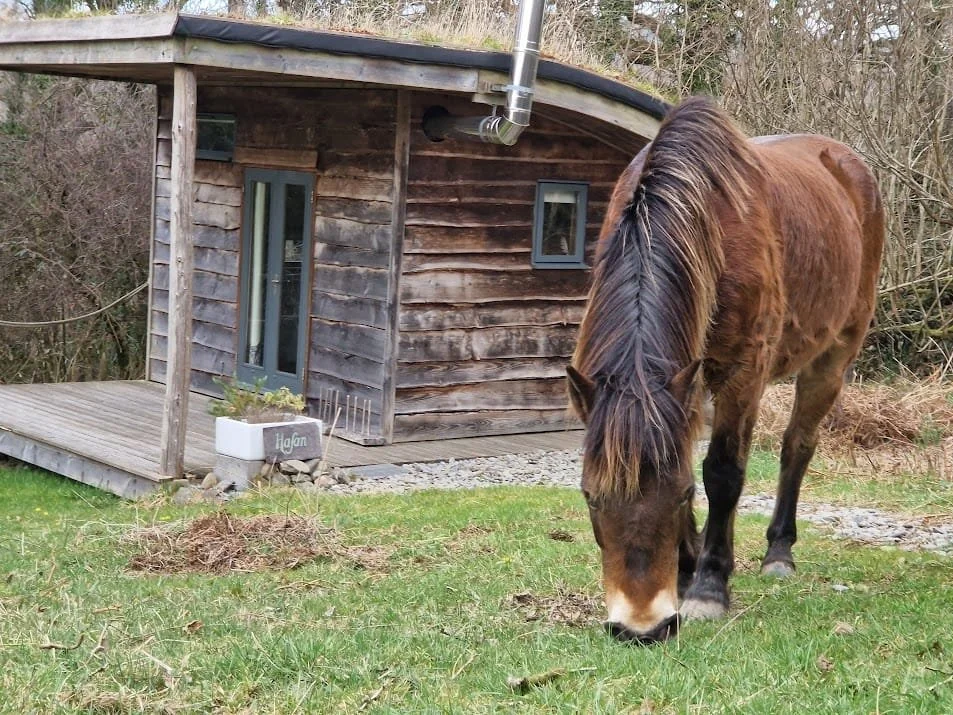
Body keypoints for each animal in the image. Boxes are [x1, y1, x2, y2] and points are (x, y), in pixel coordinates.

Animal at [567, 97, 884, 644]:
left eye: (678, 497)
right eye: (590, 497)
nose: (642, 628)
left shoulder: (741, 373)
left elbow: (722, 473)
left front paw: (709, 587)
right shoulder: (685, 382)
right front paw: (688, 567)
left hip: (833, 356)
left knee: (797, 446)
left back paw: (778, 553)